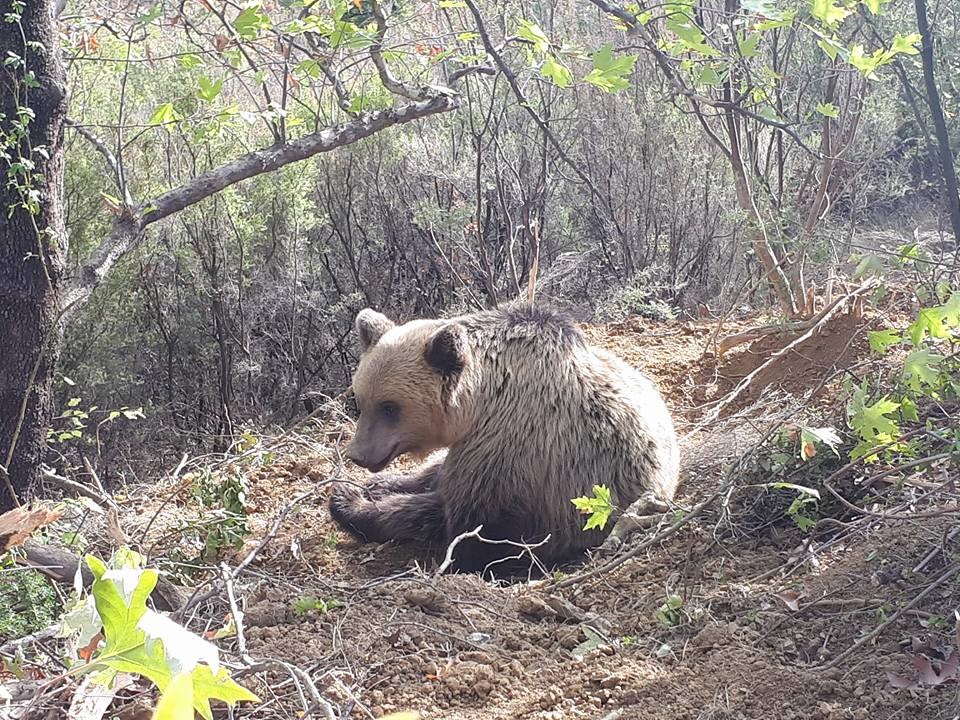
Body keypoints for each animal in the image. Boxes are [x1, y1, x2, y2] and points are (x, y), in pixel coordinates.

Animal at [330, 304, 684, 580]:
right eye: (361, 399)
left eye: (390, 407)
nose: (358, 454)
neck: (482, 403)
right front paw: (373, 487)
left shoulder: (517, 457)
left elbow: (463, 528)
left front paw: (350, 502)